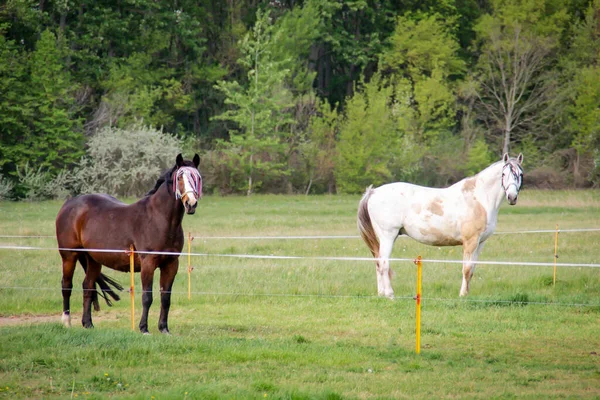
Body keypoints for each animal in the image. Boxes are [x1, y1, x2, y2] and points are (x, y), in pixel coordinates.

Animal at [56, 154, 202, 334]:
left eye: (197, 178)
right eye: (180, 177)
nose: (191, 203)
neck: (158, 218)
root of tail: (69, 204)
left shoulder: (171, 264)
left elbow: (165, 297)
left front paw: (164, 329)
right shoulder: (148, 263)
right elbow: (147, 297)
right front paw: (144, 328)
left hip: (93, 259)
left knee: (87, 286)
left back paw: (88, 324)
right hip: (69, 255)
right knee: (66, 286)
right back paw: (66, 321)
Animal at [358, 153, 524, 296]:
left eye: (520, 174)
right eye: (504, 174)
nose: (512, 197)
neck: (478, 199)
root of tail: (373, 192)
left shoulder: (480, 242)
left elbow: (472, 269)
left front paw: (467, 294)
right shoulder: (470, 241)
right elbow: (466, 269)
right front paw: (462, 295)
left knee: (378, 262)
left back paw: (381, 293)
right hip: (388, 236)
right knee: (383, 263)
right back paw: (389, 294)